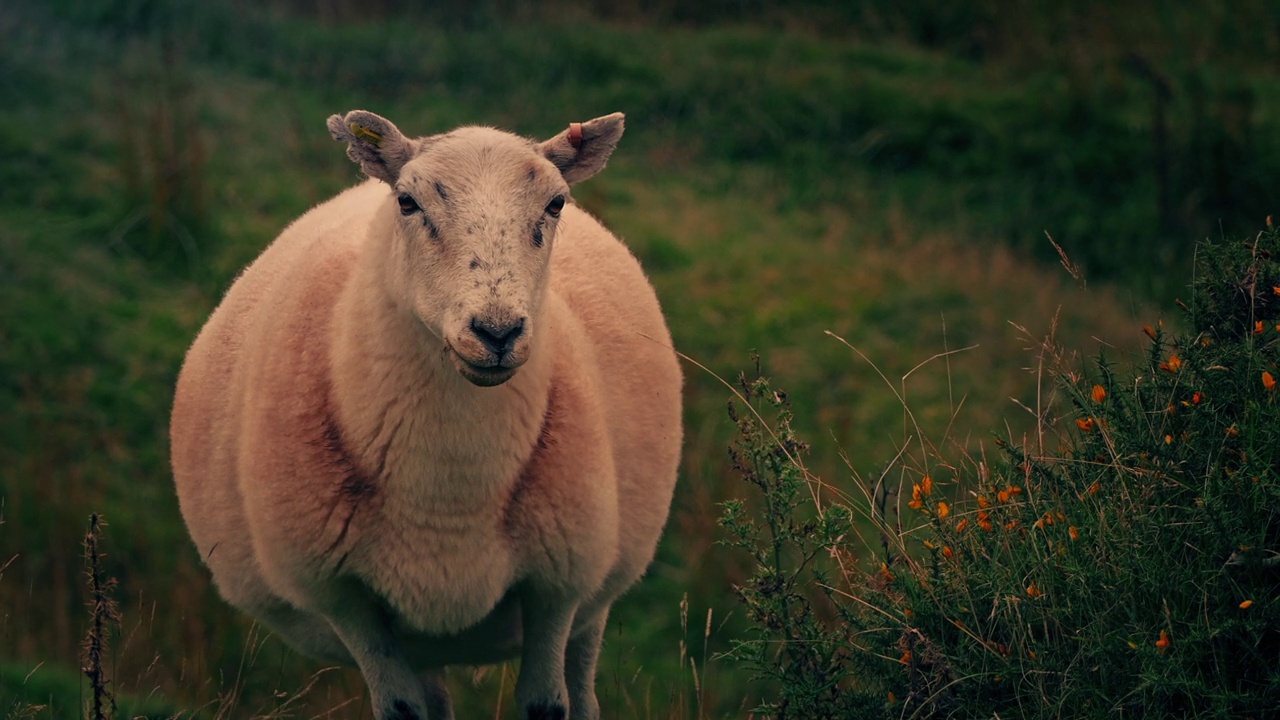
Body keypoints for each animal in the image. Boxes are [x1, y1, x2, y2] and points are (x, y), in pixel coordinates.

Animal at [175, 107, 686, 717]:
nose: (496, 332)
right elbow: (401, 708)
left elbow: (547, 704)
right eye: (407, 202)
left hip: (594, 597)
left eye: (556, 203)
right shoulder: (343, 599)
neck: (448, 497)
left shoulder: (559, 587)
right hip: (417, 636)